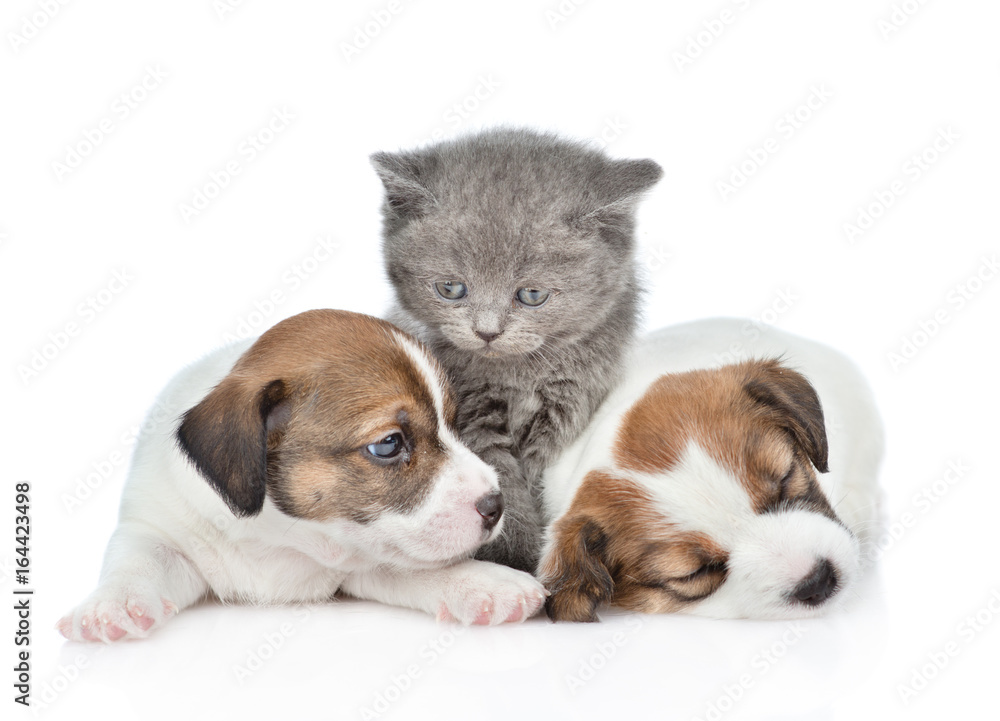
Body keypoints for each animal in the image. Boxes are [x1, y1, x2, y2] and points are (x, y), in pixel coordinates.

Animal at [58, 310, 548, 640]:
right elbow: (139, 559)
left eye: (453, 423)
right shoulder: (153, 524)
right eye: (389, 444)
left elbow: (408, 564)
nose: (496, 505)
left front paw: (481, 581)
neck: (279, 540)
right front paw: (111, 605)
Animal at [372, 126, 660, 572]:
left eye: (532, 295)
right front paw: (517, 558)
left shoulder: (568, 404)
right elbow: (498, 481)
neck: (519, 373)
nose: (487, 331)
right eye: (451, 288)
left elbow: (539, 476)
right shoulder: (467, 416)